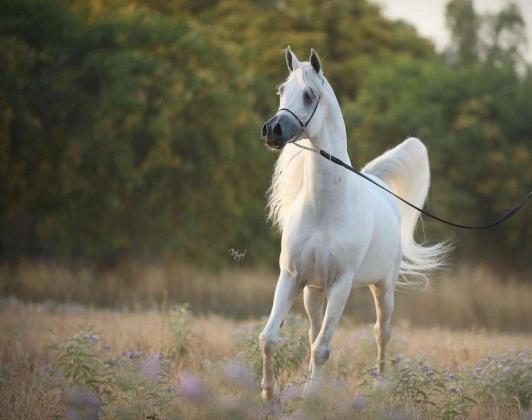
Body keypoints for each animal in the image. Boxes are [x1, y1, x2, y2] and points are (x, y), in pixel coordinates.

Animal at [260, 47, 446, 398]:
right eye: (280, 91)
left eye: (309, 95)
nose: (272, 130)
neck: (324, 210)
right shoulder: (290, 278)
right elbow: (269, 338)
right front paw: (268, 396)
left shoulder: (341, 286)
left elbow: (322, 349)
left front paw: (308, 400)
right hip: (312, 292)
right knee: (313, 333)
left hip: (383, 290)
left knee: (381, 333)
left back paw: (382, 384)